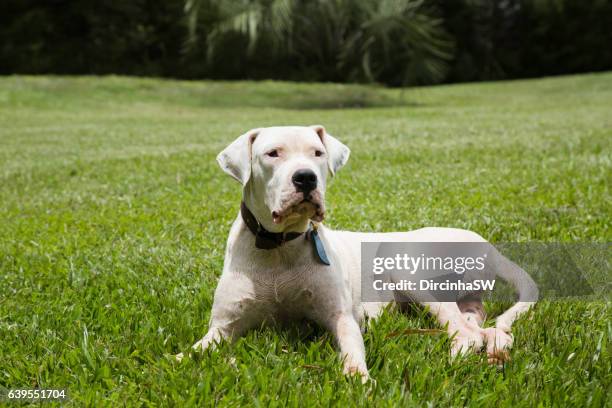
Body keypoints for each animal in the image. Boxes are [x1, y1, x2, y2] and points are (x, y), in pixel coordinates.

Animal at [176, 125, 536, 380]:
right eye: (272, 153)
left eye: (318, 153)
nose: (305, 178)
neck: (280, 247)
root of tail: (487, 245)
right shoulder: (223, 328)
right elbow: (193, 351)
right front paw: (175, 360)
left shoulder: (341, 317)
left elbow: (351, 350)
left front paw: (359, 379)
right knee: (487, 329)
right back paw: (494, 352)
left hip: (406, 266)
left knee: (467, 333)